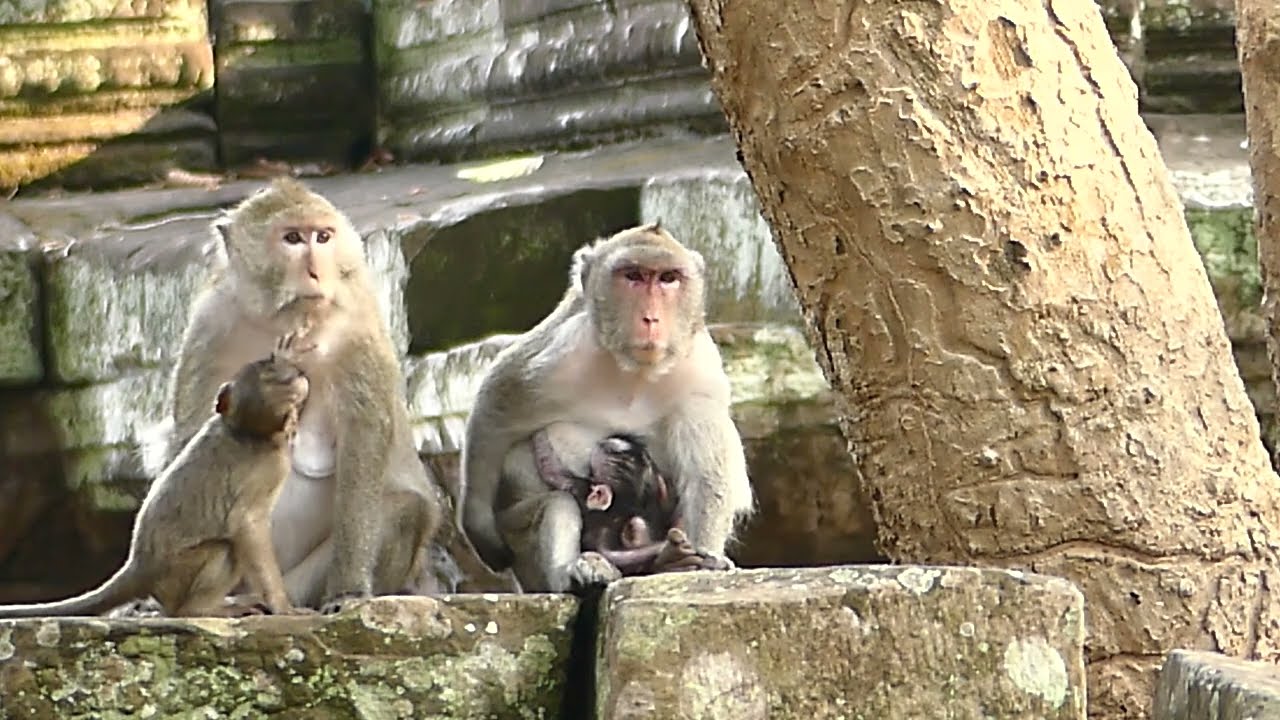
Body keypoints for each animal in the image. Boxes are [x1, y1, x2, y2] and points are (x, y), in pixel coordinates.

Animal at [0, 339, 311, 618]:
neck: (252, 434)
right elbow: (244, 526)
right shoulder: (257, 476)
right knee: (223, 549)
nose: (293, 374)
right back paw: (199, 609)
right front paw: (282, 606)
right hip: (176, 577)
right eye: (268, 372)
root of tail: (139, 567)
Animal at [143, 178, 441, 611]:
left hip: (297, 583)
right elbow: (191, 432)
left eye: (323, 237)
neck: (285, 323)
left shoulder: (358, 329)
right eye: (293, 238)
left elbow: (363, 441)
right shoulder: (210, 322)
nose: (316, 272)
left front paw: (349, 589)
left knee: (408, 511)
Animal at [460, 223, 755, 593]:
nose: (651, 319)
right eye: (633, 275)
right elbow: (496, 405)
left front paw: (703, 559)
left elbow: (706, 474)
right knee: (556, 505)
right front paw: (478, 525)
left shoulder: (699, 375)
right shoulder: (556, 353)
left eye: (668, 278)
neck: (634, 372)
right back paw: (576, 574)